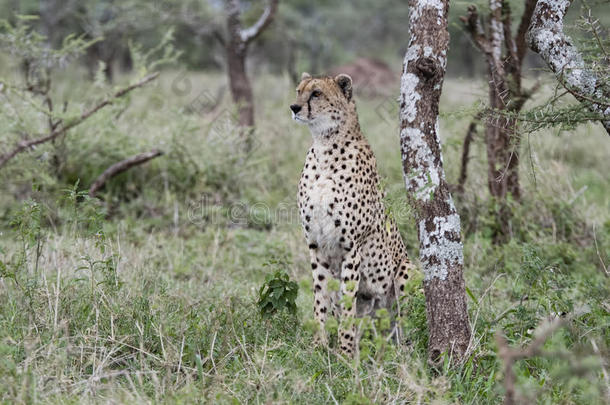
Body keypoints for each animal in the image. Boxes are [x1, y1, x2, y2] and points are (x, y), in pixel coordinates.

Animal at [290, 72, 414, 354]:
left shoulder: (351, 247)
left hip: (406, 269)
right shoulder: (316, 245)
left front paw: (345, 352)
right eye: (299, 91)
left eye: (316, 93)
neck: (324, 147)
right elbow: (321, 298)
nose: (294, 108)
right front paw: (320, 345)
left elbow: (348, 304)